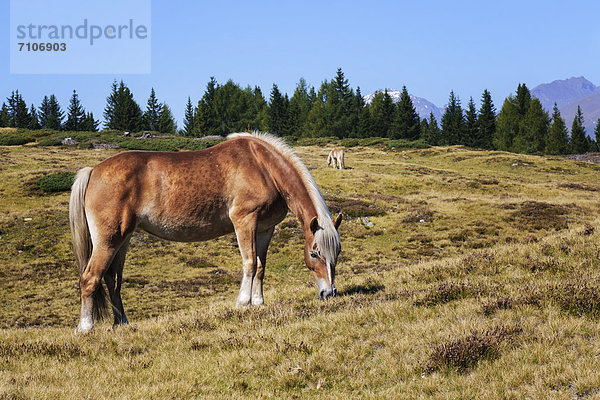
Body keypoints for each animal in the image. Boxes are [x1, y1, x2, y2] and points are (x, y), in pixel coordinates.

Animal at [69, 133, 342, 332]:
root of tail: (93, 171)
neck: (264, 166)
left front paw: (258, 302)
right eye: (314, 253)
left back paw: (122, 323)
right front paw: (243, 303)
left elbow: (261, 266)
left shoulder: (265, 228)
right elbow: (249, 263)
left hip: (122, 240)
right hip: (108, 241)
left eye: (336, 254)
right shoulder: (244, 221)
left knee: (112, 280)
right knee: (90, 277)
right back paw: (85, 327)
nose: (328, 293)